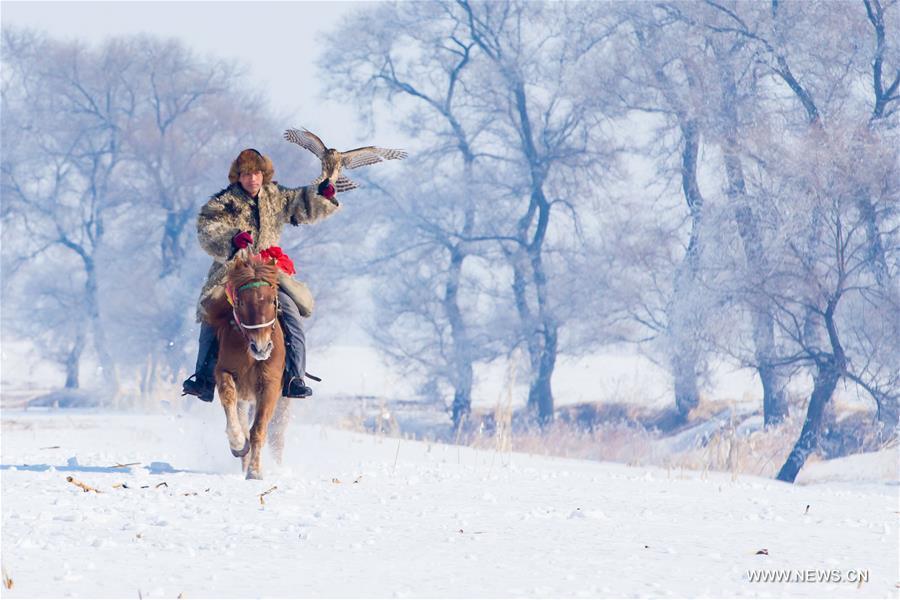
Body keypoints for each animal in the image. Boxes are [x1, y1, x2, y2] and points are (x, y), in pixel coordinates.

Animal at [205, 252, 290, 478]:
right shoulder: (224, 372)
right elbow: (229, 400)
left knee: (277, 434)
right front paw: (237, 444)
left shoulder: (270, 385)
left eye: (272, 300)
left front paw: (254, 472)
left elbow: (259, 429)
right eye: (241, 303)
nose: (261, 348)